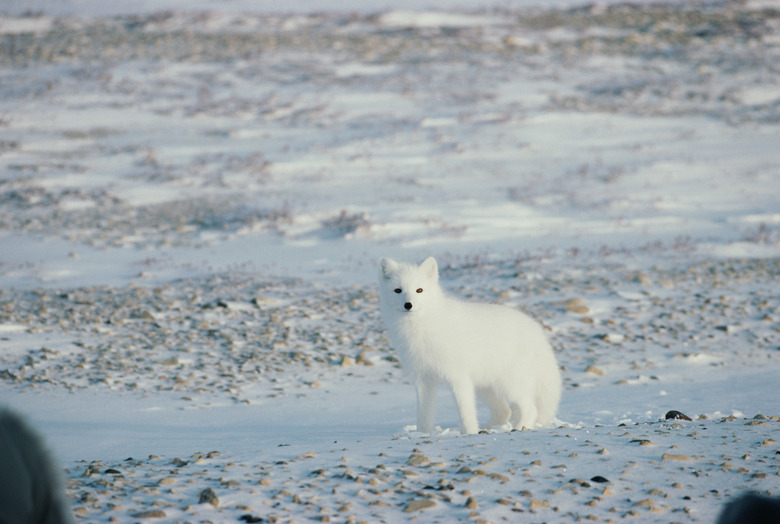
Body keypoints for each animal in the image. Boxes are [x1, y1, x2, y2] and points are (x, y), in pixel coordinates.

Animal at [378, 256, 560, 434]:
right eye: (398, 290)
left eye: (419, 290)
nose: (408, 305)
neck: (421, 327)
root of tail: (537, 331)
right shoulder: (423, 378)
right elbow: (424, 415)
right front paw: (422, 435)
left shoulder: (458, 376)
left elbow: (465, 412)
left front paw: (469, 433)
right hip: (484, 386)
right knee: (504, 410)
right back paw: (489, 428)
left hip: (510, 384)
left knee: (530, 409)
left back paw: (519, 427)